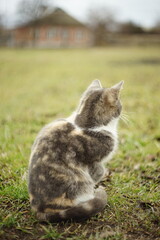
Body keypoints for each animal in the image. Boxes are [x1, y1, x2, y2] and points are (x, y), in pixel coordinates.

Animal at [28, 79, 123, 222]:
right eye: (119, 104)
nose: (122, 109)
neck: (85, 123)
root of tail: (41, 210)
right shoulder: (94, 162)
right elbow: (99, 171)